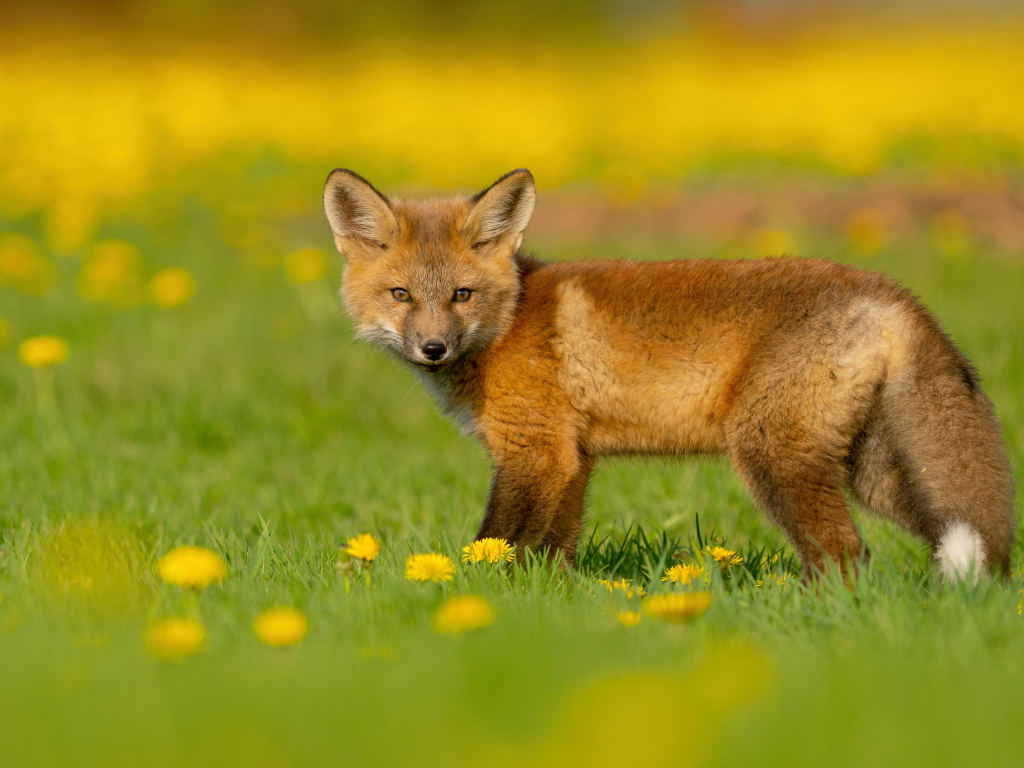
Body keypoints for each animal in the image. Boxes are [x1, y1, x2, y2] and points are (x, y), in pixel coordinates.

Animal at [321, 165, 1015, 581]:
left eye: (461, 295)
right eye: (401, 295)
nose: (433, 347)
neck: (509, 323)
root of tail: (889, 290)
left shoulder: (534, 452)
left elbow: (497, 542)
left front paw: (476, 599)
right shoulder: (573, 459)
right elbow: (555, 550)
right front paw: (548, 610)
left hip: (772, 456)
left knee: (846, 556)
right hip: (869, 469)